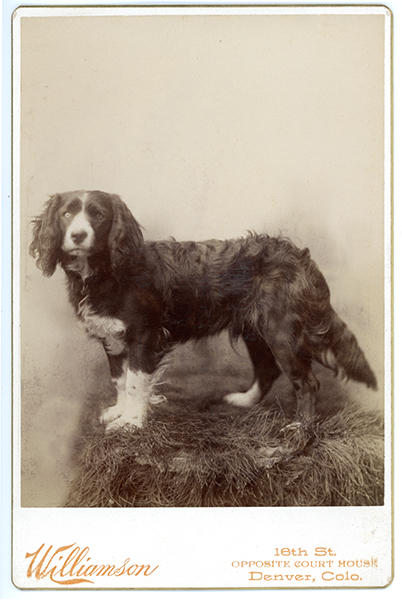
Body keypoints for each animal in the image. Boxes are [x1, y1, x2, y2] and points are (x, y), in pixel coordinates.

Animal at [29, 190, 376, 428]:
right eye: (66, 214)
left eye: (99, 216)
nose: (77, 235)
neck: (107, 271)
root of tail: (300, 255)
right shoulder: (112, 339)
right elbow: (119, 380)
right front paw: (120, 411)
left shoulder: (144, 336)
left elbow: (135, 381)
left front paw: (131, 422)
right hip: (255, 331)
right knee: (268, 369)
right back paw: (244, 401)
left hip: (281, 333)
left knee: (307, 382)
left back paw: (301, 428)